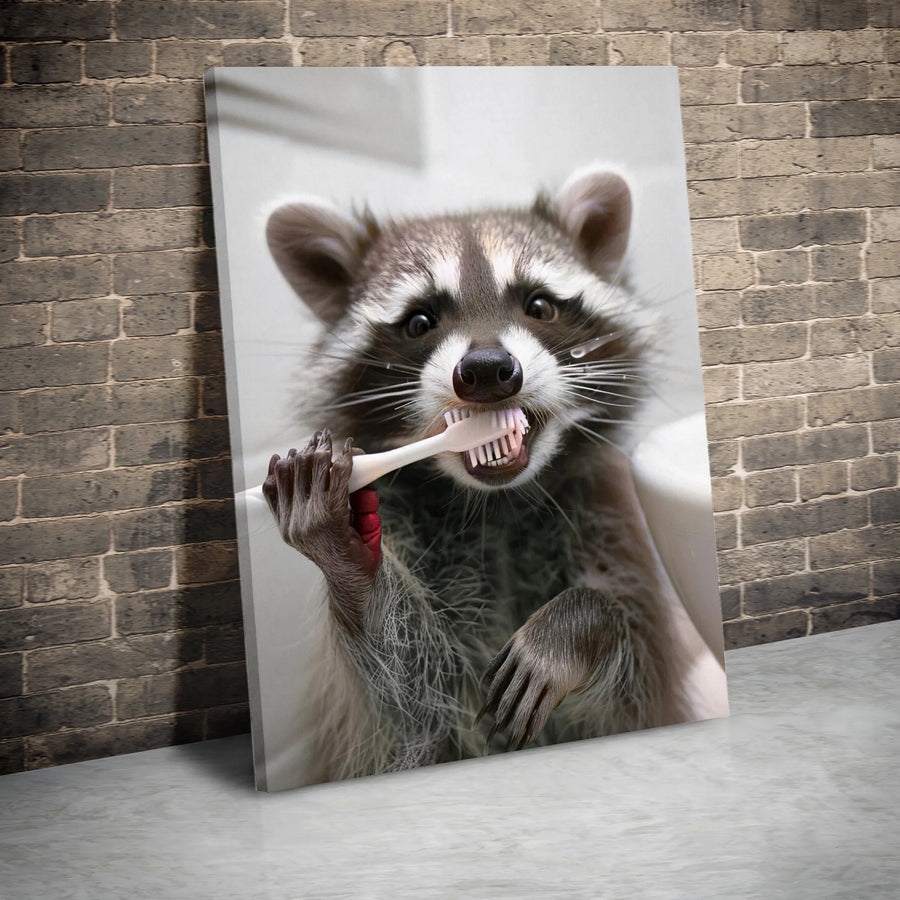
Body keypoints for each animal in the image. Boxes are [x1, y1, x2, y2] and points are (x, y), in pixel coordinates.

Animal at [263, 168, 700, 783]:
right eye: (420, 321)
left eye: (539, 306)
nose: (488, 370)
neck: (497, 503)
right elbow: (409, 707)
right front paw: (349, 564)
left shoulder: (608, 523)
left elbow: (632, 687)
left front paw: (578, 625)